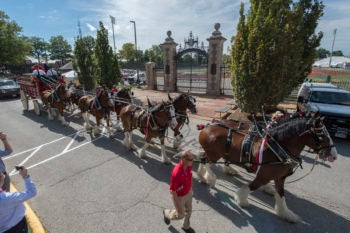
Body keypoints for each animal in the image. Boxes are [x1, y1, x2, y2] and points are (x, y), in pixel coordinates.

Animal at [197, 112, 336, 223]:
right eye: (322, 136)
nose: (334, 156)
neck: (278, 146)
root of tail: (207, 126)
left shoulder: (280, 177)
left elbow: (281, 195)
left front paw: (285, 213)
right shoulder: (263, 177)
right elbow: (251, 187)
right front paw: (241, 200)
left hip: (217, 153)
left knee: (202, 158)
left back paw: (203, 176)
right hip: (214, 154)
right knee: (205, 162)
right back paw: (210, 178)